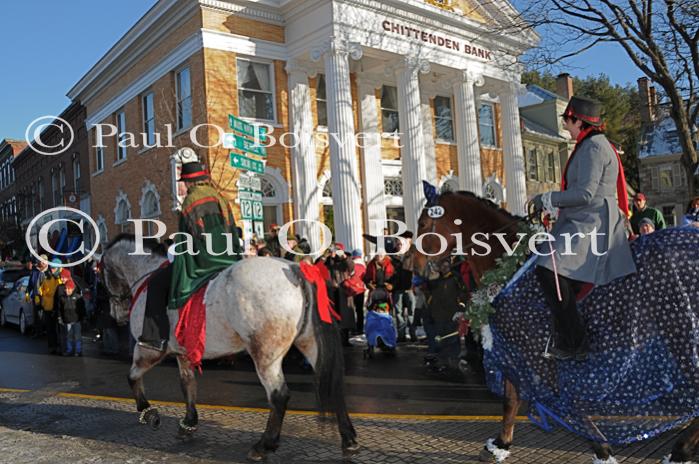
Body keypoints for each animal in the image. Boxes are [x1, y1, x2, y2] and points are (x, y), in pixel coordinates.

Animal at [100, 236, 360, 460]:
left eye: (102, 272)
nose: (116, 314)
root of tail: (297, 270)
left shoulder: (148, 350)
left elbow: (132, 377)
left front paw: (148, 413)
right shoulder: (183, 354)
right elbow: (187, 385)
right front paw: (188, 423)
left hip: (265, 354)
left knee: (279, 396)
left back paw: (263, 446)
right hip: (309, 343)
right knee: (332, 385)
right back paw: (348, 440)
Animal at [412, 189, 699, 464]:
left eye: (424, 223)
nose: (412, 266)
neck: (511, 263)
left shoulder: (533, 349)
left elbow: (559, 402)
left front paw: (602, 449)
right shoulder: (517, 349)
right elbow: (511, 398)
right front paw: (500, 445)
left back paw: (680, 451)